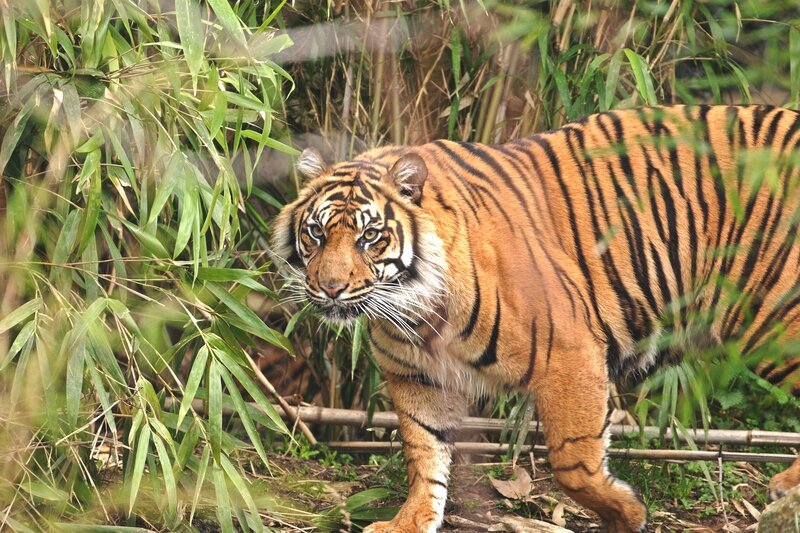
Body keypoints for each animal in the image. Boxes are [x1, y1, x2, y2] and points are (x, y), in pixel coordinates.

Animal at [271, 104, 800, 533]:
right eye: (316, 233)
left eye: (370, 236)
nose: (330, 287)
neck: (415, 308)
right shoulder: (416, 376)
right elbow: (424, 453)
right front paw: (411, 520)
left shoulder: (571, 353)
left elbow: (573, 460)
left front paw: (625, 513)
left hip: (776, 315)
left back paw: (784, 486)